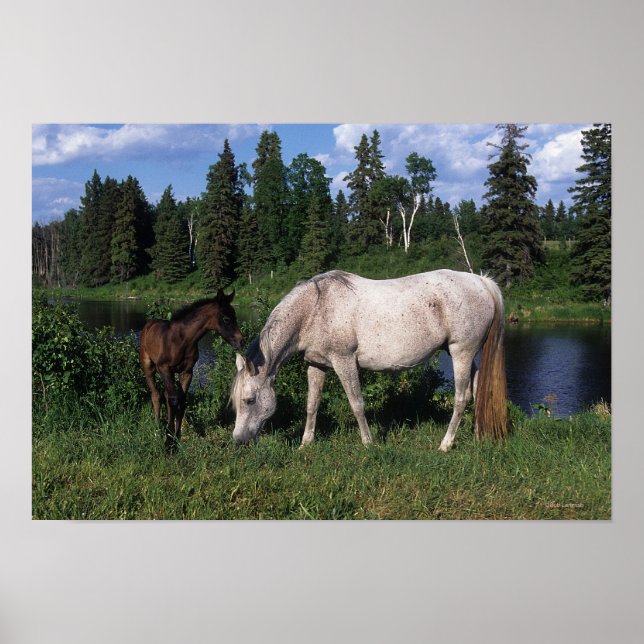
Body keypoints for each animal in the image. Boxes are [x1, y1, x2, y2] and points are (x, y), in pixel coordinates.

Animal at [139, 289, 243, 451]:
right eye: (226, 319)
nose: (241, 341)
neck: (183, 340)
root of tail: (148, 325)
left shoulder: (187, 372)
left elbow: (181, 401)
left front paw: (177, 437)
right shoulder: (164, 368)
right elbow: (173, 400)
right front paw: (168, 442)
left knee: (166, 395)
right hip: (148, 367)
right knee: (156, 395)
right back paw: (157, 428)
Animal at [230, 270, 507, 451]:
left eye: (250, 400)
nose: (238, 440)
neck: (315, 308)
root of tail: (482, 282)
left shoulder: (344, 362)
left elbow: (357, 404)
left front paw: (368, 443)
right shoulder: (317, 365)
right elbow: (312, 404)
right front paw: (306, 443)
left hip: (462, 353)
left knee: (461, 398)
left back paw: (446, 444)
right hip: (462, 355)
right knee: (476, 390)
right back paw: (477, 435)